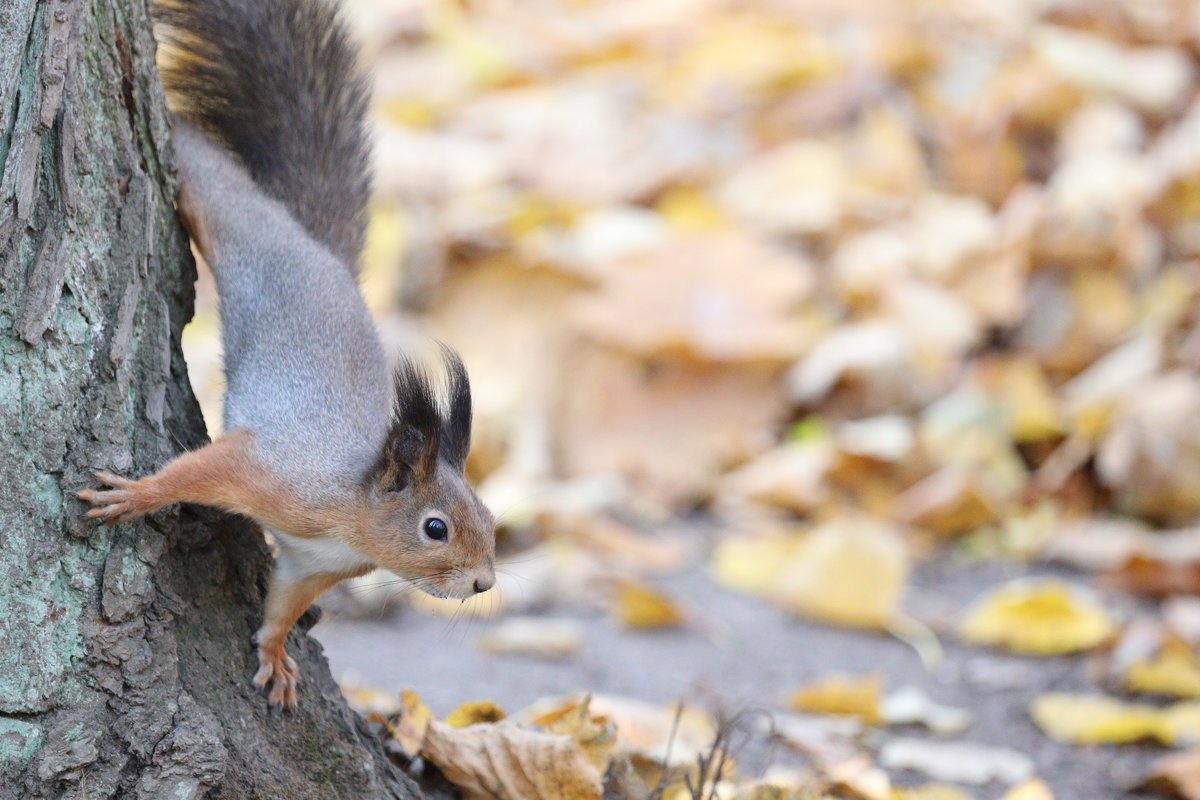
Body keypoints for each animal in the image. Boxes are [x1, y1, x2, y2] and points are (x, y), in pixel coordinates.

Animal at [76, 0, 496, 705]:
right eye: (435, 528)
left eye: (491, 520)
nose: (484, 582)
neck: (349, 513)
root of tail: (312, 246)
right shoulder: (275, 475)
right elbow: (202, 470)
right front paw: (137, 496)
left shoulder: (310, 564)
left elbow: (284, 604)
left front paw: (274, 655)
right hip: (234, 219)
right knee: (208, 177)